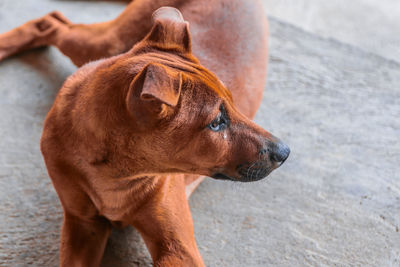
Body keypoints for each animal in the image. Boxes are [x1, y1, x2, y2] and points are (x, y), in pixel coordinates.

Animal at [0, 1, 288, 266]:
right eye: (216, 122)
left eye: (233, 104)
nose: (285, 152)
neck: (115, 172)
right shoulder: (82, 222)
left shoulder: (177, 246)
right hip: (106, 43)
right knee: (50, 21)